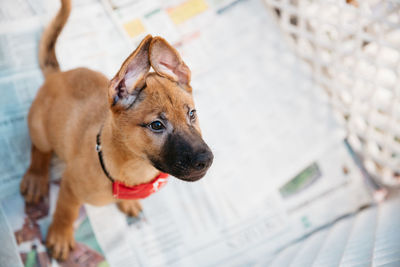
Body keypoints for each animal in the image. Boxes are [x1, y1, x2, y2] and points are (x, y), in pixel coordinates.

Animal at [19, 0, 212, 260]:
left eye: (192, 114)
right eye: (157, 125)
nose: (207, 160)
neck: (134, 168)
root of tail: (57, 75)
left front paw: (127, 202)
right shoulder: (69, 186)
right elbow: (65, 212)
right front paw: (60, 235)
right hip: (40, 128)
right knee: (39, 150)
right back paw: (36, 177)